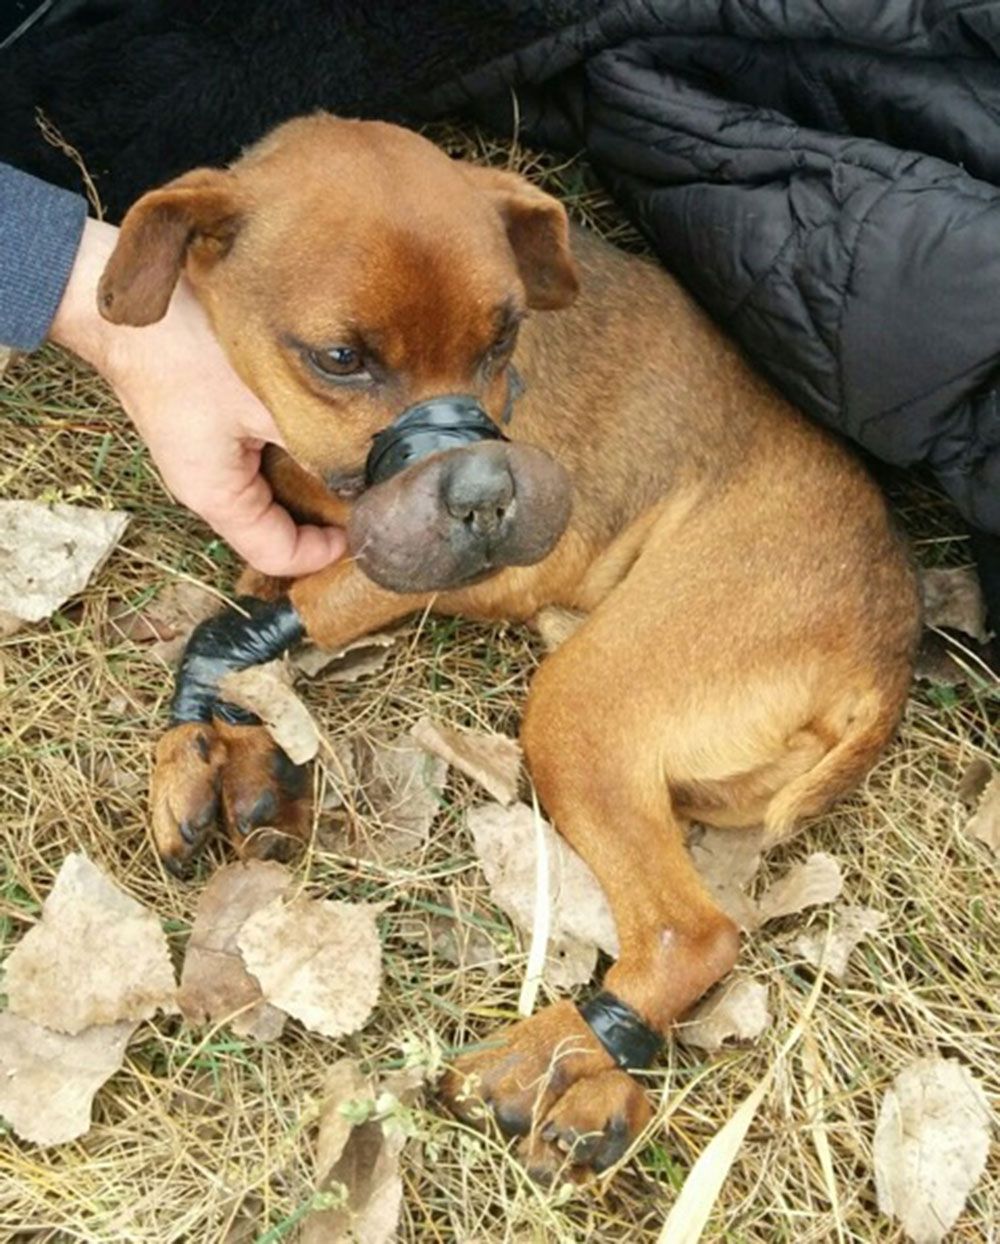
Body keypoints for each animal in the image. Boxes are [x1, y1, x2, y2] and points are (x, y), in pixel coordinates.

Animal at [97, 116, 920, 1184]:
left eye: (503, 340)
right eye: (340, 357)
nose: (489, 496)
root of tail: (888, 657)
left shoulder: (477, 566)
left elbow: (308, 602)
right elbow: (262, 603)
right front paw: (221, 740)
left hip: (581, 704)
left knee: (693, 931)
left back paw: (561, 1056)